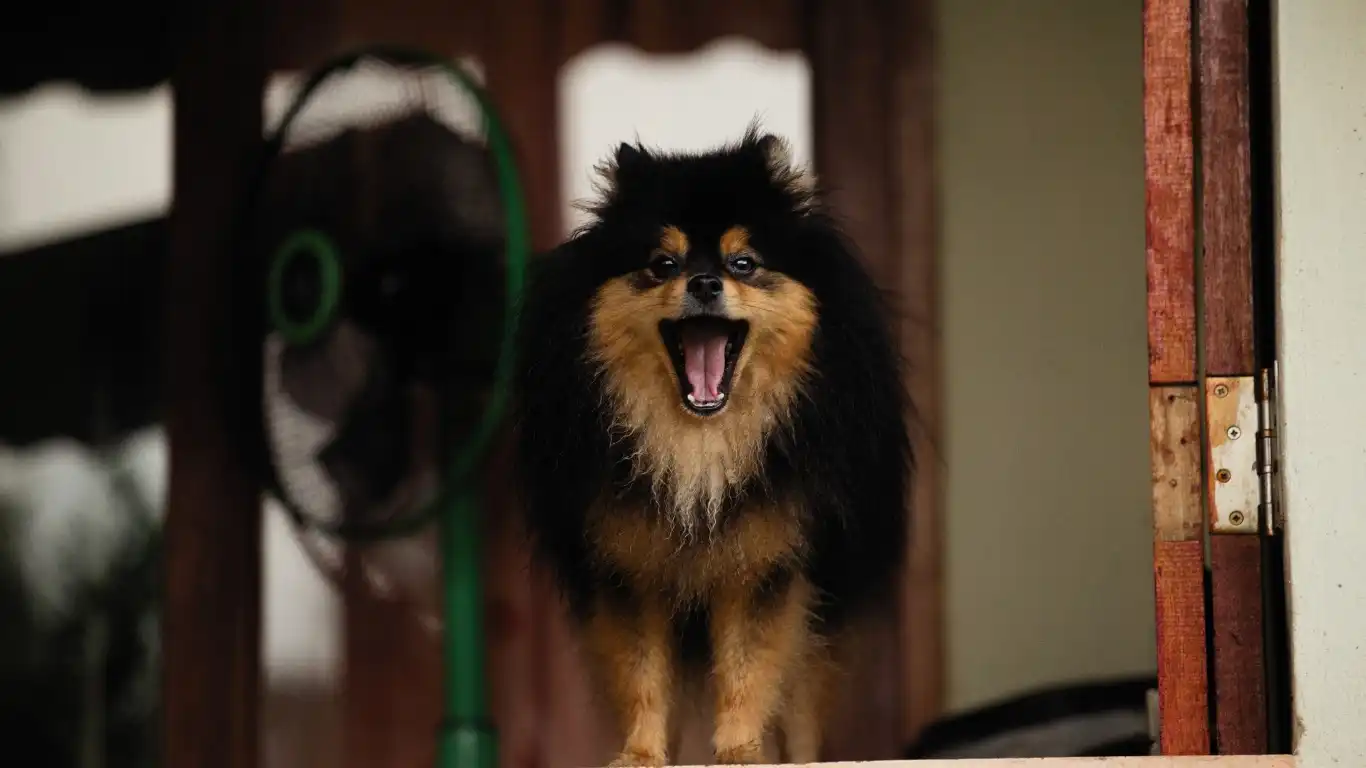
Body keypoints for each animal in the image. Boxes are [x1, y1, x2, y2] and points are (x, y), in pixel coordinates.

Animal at [516, 128, 912, 759]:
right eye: (663, 264)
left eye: (743, 263)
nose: (704, 282)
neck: (697, 445)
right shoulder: (630, 568)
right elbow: (642, 675)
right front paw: (641, 754)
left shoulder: (764, 563)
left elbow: (750, 668)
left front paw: (742, 752)